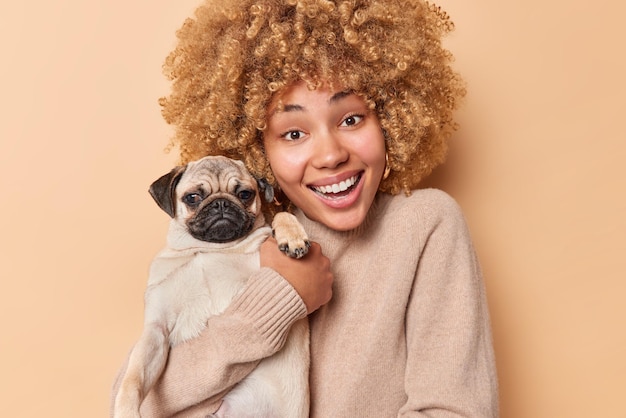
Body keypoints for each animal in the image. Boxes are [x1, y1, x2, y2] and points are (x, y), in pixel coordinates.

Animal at [113, 155, 310, 416]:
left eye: (245, 194)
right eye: (193, 197)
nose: (221, 204)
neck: (210, 248)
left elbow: (280, 216)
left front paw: (293, 236)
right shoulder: (156, 331)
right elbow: (132, 379)